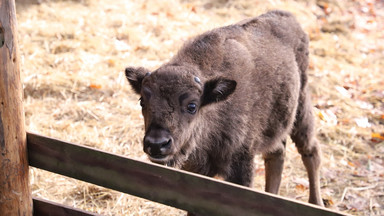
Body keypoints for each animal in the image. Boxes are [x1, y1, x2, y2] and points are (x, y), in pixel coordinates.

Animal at [124, 10, 322, 208]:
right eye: (142, 102)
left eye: (192, 106)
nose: (157, 144)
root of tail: (290, 18)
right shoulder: (196, 169)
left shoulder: (241, 165)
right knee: (277, 153)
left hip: (301, 109)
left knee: (310, 152)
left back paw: (317, 202)